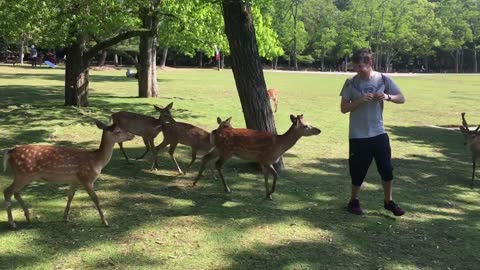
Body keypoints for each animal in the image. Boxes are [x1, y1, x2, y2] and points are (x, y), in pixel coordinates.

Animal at [1, 119, 134, 229]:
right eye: (118, 131)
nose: (132, 135)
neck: (97, 161)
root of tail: (9, 152)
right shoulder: (87, 178)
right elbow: (96, 199)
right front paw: (105, 221)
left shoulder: (74, 180)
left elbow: (70, 196)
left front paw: (65, 217)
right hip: (23, 174)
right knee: (7, 191)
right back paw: (12, 223)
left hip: (26, 176)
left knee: (15, 192)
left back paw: (27, 216)